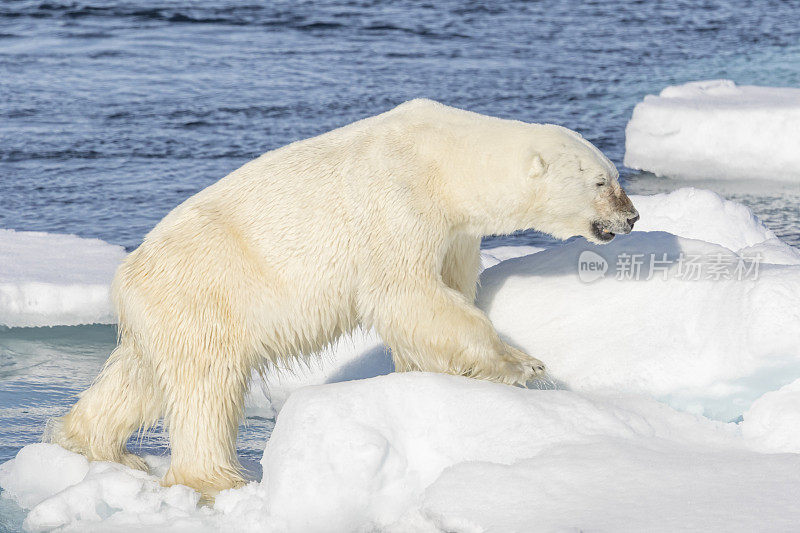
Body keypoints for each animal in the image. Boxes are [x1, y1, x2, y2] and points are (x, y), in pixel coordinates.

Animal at [50, 98, 636, 494]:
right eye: (601, 182)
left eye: (615, 176)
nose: (631, 217)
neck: (443, 160)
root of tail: (124, 277)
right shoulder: (398, 204)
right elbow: (406, 294)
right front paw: (520, 364)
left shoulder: (454, 232)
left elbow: (440, 298)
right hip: (207, 292)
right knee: (207, 385)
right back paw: (217, 478)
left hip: (165, 312)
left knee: (142, 377)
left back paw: (94, 443)